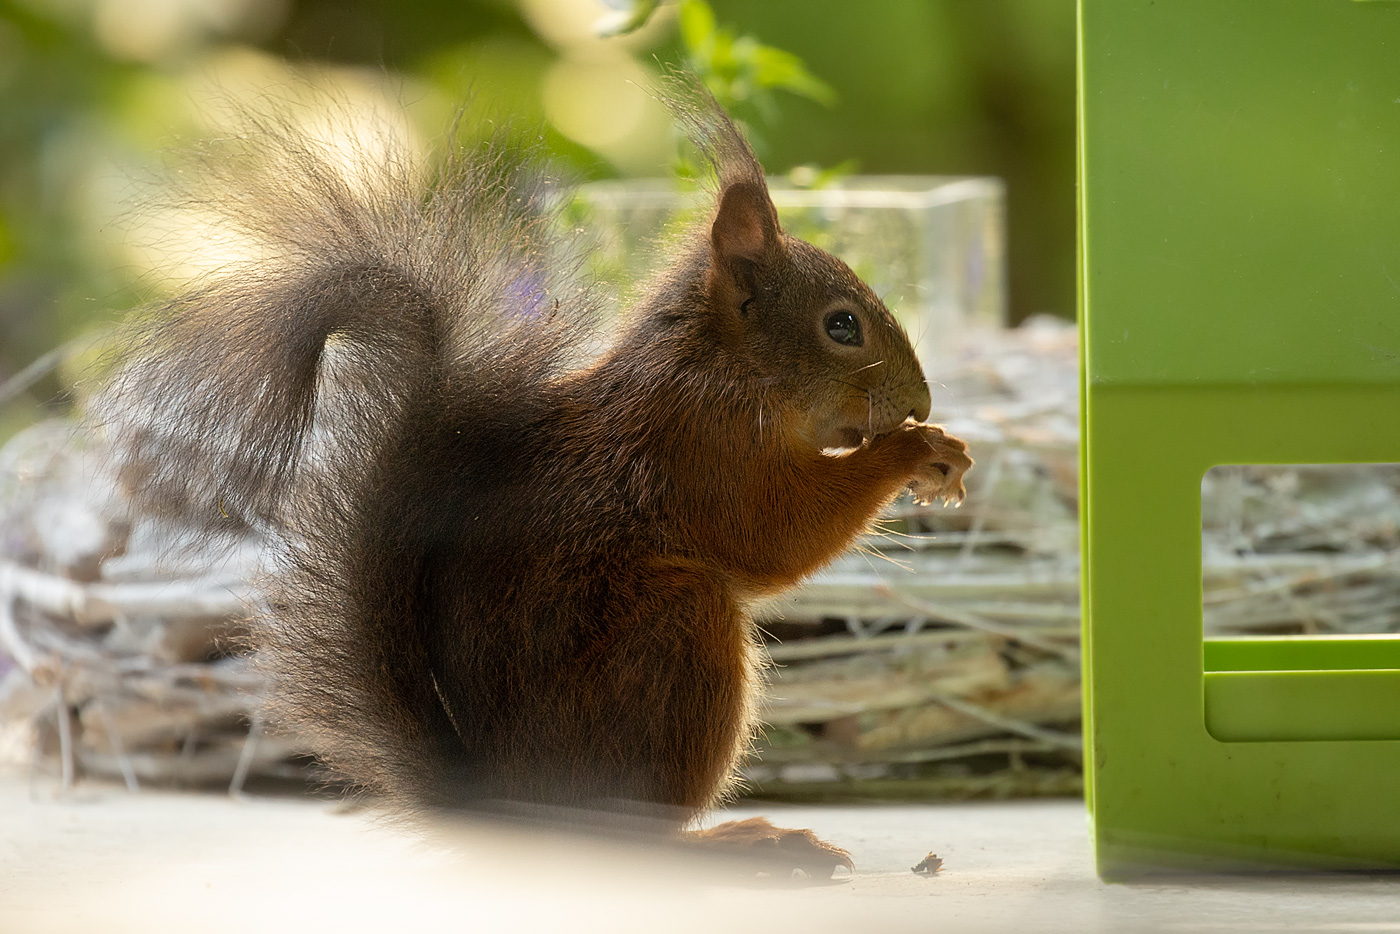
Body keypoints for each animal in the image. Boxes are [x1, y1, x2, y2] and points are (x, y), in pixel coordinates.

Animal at [95, 78, 974, 879]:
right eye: (842, 326)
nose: (921, 401)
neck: (720, 365)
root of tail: (510, 803)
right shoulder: (703, 448)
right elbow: (776, 536)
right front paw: (912, 451)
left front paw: (943, 450)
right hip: (673, 634)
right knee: (635, 839)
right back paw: (742, 844)